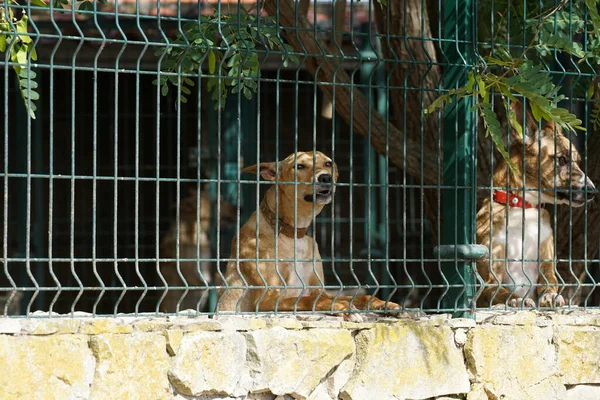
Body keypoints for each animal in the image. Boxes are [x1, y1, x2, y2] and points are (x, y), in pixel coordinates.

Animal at [216, 152, 398, 318]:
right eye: (299, 166)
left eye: (328, 163)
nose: (325, 177)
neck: (293, 235)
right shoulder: (268, 298)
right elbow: (311, 300)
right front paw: (343, 307)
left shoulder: (319, 290)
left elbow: (358, 297)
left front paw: (384, 303)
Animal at [476, 101, 596, 308]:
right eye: (561, 159)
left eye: (578, 162)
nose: (593, 191)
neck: (523, 209)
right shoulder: (489, 280)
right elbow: (500, 291)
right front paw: (516, 300)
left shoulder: (546, 266)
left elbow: (549, 284)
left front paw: (551, 296)